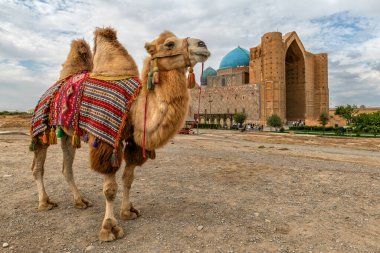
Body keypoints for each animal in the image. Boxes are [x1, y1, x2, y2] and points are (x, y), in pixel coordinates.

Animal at [30, 27, 211, 241]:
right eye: (169, 44)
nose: (203, 45)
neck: (134, 106)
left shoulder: (133, 141)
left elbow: (128, 179)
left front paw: (127, 211)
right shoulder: (106, 140)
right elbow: (110, 189)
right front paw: (109, 227)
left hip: (67, 134)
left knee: (67, 168)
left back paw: (80, 201)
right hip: (41, 126)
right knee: (38, 167)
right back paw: (45, 202)